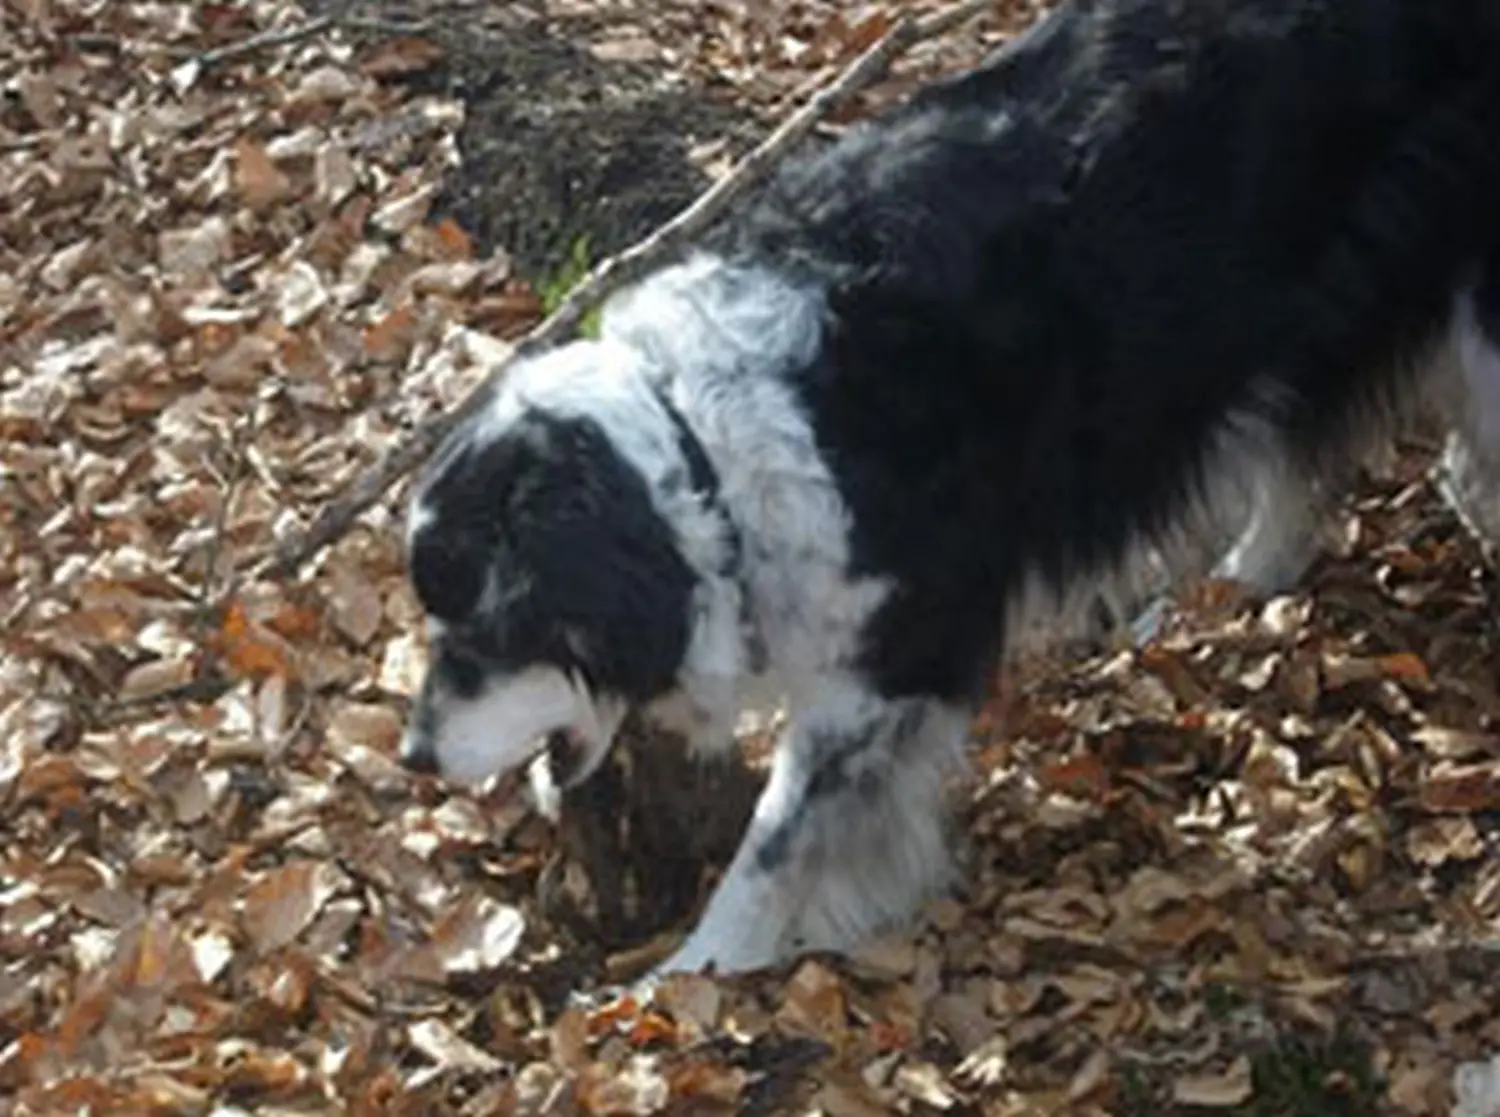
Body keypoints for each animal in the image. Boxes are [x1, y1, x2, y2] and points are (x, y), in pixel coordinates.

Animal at [396, 0, 1500, 977]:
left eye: (490, 629)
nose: (412, 759)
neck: (704, 450)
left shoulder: (890, 656)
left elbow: (776, 840)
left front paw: (699, 974)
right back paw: (1235, 582)